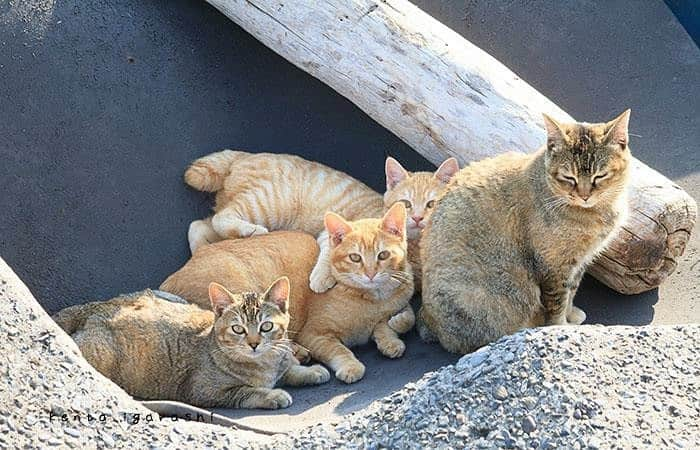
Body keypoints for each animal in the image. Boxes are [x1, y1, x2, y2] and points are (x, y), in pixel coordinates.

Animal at [52, 278, 330, 408]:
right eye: (238, 329)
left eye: (266, 326)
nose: (253, 343)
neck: (264, 365)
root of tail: (91, 309)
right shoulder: (203, 391)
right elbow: (245, 391)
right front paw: (271, 395)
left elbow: (288, 369)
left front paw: (309, 371)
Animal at [163, 204, 416, 384]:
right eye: (355, 258)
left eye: (383, 255)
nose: (371, 274)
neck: (373, 300)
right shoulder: (314, 333)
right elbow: (339, 350)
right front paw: (350, 366)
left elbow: (397, 321)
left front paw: (391, 338)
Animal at [182, 149, 460, 294]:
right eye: (406, 203)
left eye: (431, 204)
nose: (417, 218)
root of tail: (243, 155)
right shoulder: (334, 230)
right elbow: (330, 251)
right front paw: (321, 278)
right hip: (269, 203)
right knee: (221, 217)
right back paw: (250, 231)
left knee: (200, 224)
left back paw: (203, 251)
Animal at [418, 110, 632, 354]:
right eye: (569, 177)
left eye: (600, 176)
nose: (584, 195)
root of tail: (429, 323)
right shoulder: (554, 267)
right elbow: (558, 302)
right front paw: (561, 326)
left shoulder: (578, 262)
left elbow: (572, 291)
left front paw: (571, 314)